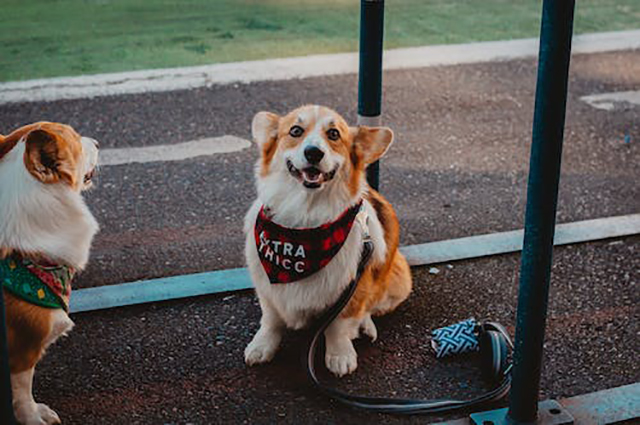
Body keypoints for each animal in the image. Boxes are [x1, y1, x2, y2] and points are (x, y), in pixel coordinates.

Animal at [242, 105, 412, 374]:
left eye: (333, 134)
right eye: (295, 131)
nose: (313, 152)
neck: (304, 221)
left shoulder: (352, 288)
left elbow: (338, 325)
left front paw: (340, 356)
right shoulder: (267, 289)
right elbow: (271, 320)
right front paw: (261, 346)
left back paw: (365, 327)